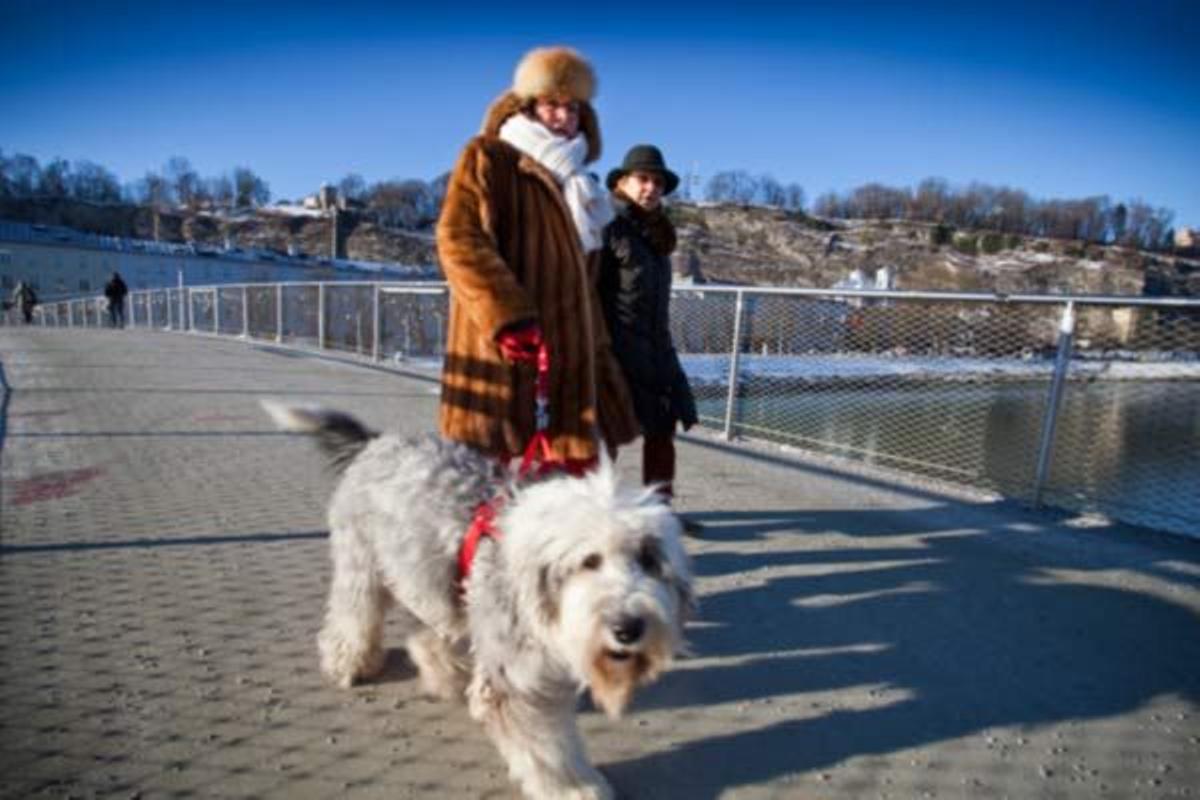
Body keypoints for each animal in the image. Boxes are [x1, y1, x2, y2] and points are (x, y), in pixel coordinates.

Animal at [262, 400, 696, 800]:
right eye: (589, 560)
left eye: (648, 559)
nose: (628, 628)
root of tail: (376, 442)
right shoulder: (518, 677)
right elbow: (547, 747)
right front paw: (573, 788)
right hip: (362, 562)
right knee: (353, 614)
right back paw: (349, 662)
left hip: (430, 580)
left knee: (428, 634)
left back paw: (443, 671)